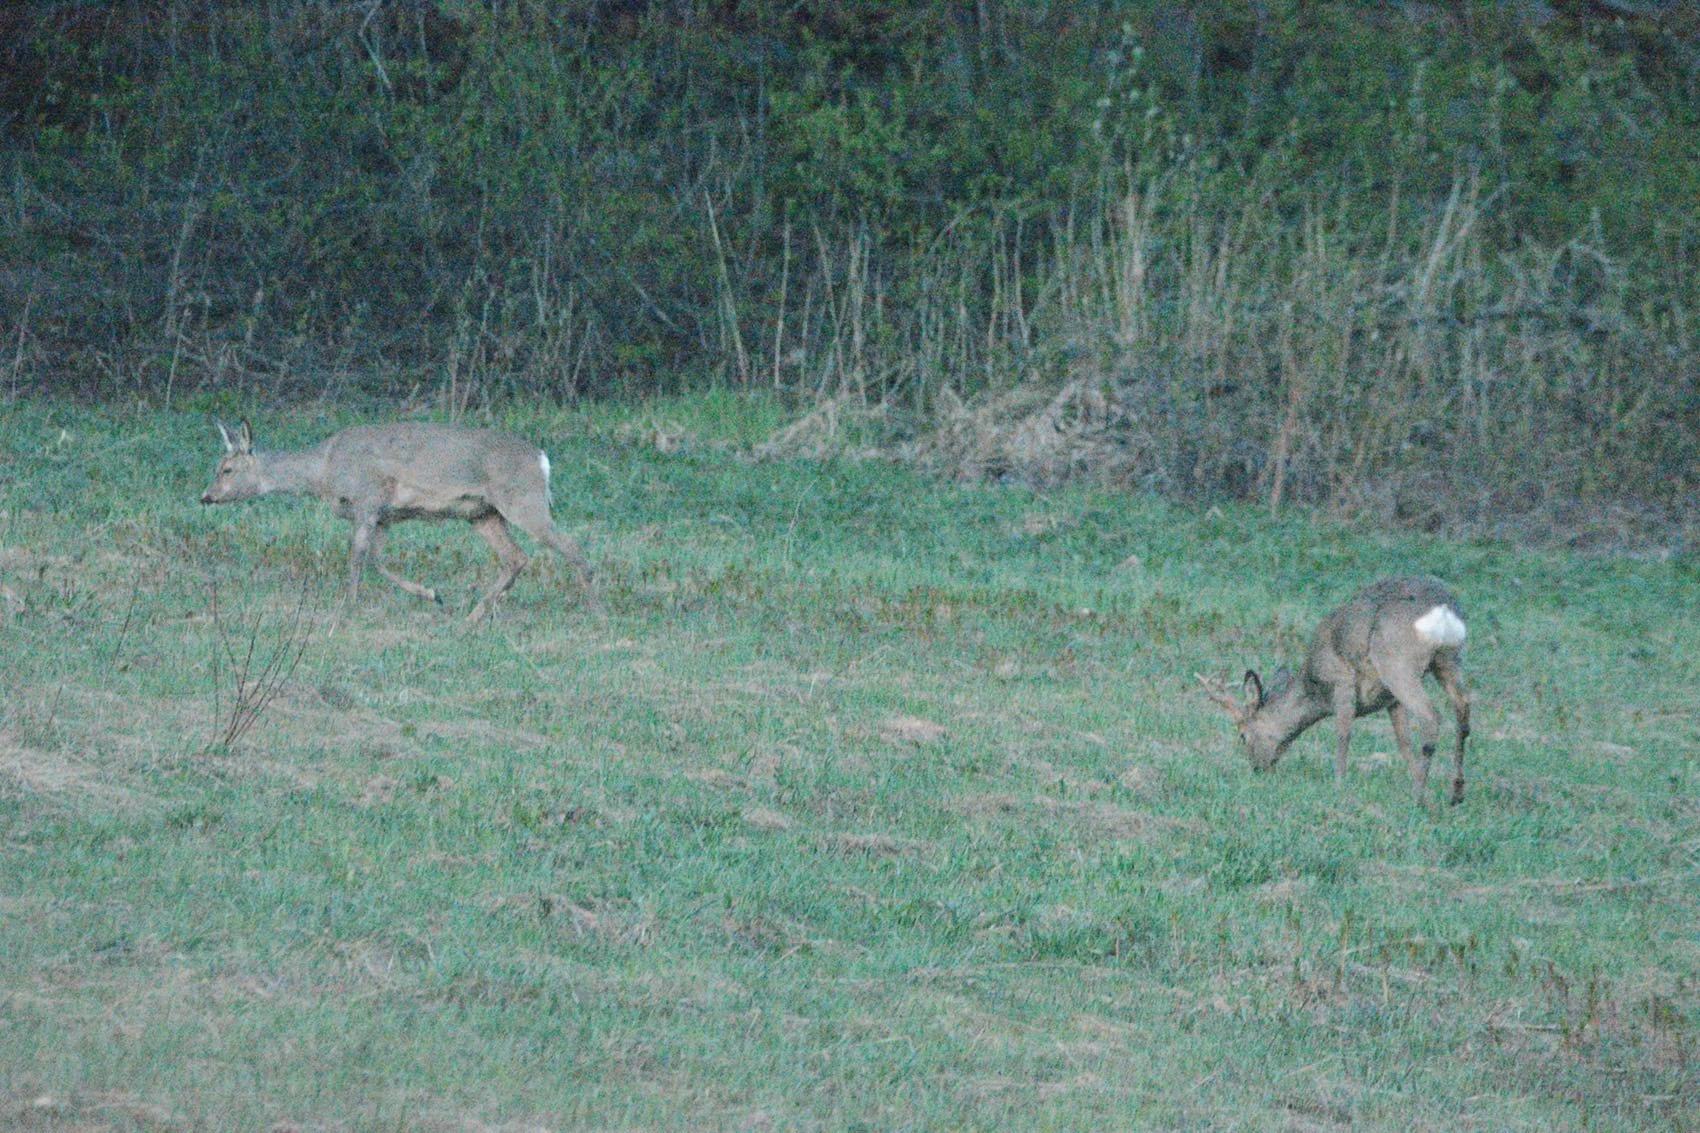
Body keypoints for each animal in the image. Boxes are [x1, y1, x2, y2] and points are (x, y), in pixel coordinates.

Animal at [200, 419, 594, 624]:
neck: (323, 471)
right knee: (516, 557)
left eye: (227, 469)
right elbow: (377, 560)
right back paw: (474, 614)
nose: (206, 496)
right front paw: (432, 594)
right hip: (483, 513)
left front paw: (349, 605)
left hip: (522, 499)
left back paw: (593, 610)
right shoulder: (385, 516)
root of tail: (541, 458)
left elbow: (358, 557)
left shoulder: (367, 501)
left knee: (573, 548)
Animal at [1198, 576, 1472, 805]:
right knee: (1463, 707)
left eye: (1243, 736)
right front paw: (1414, 775)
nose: (1257, 769)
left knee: (1431, 716)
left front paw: (1339, 782)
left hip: (1397, 662)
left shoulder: (1342, 682)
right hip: (1448, 659)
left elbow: (1343, 733)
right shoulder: (1390, 700)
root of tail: (1443, 610)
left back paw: (1418, 797)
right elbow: (1403, 741)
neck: (1315, 689)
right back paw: (1455, 792)